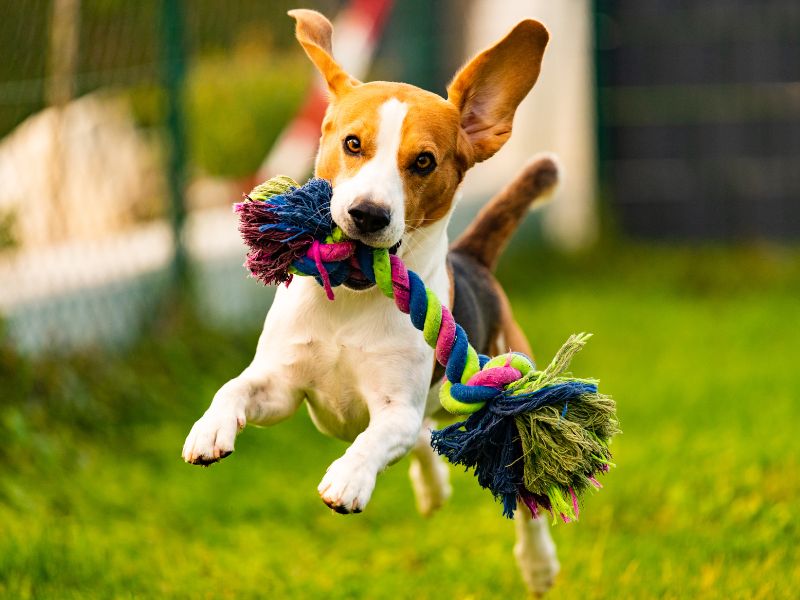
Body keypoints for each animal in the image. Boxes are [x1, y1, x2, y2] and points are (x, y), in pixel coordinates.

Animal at [186, 9, 564, 596]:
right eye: (352, 143)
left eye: (424, 161)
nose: (367, 214)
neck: (351, 299)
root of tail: (473, 258)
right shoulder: (284, 389)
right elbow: (237, 387)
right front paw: (210, 428)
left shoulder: (395, 408)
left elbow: (377, 436)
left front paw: (349, 477)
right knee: (426, 440)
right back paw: (433, 488)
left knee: (522, 497)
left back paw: (538, 562)